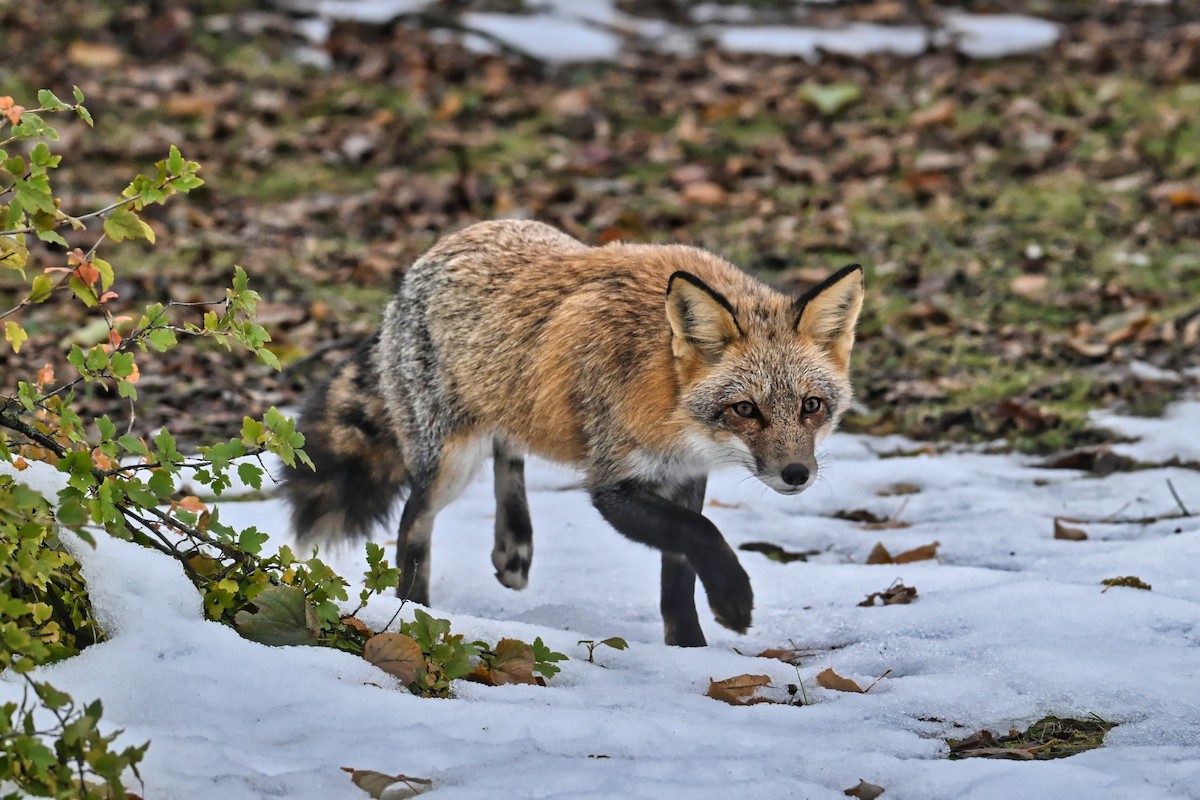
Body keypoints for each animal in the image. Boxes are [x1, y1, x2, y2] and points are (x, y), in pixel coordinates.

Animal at [283, 219, 864, 647]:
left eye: (811, 406)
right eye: (745, 409)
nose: (796, 475)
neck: (675, 414)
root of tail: (425, 259)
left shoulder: (684, 478)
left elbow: (679, 573)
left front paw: (689, 649)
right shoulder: (612, 483)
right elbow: (702, 535)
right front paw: (733, 600)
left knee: (508, 447)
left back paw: (513, 543)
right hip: (450, 462)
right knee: (414, 522)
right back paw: (411, 608)